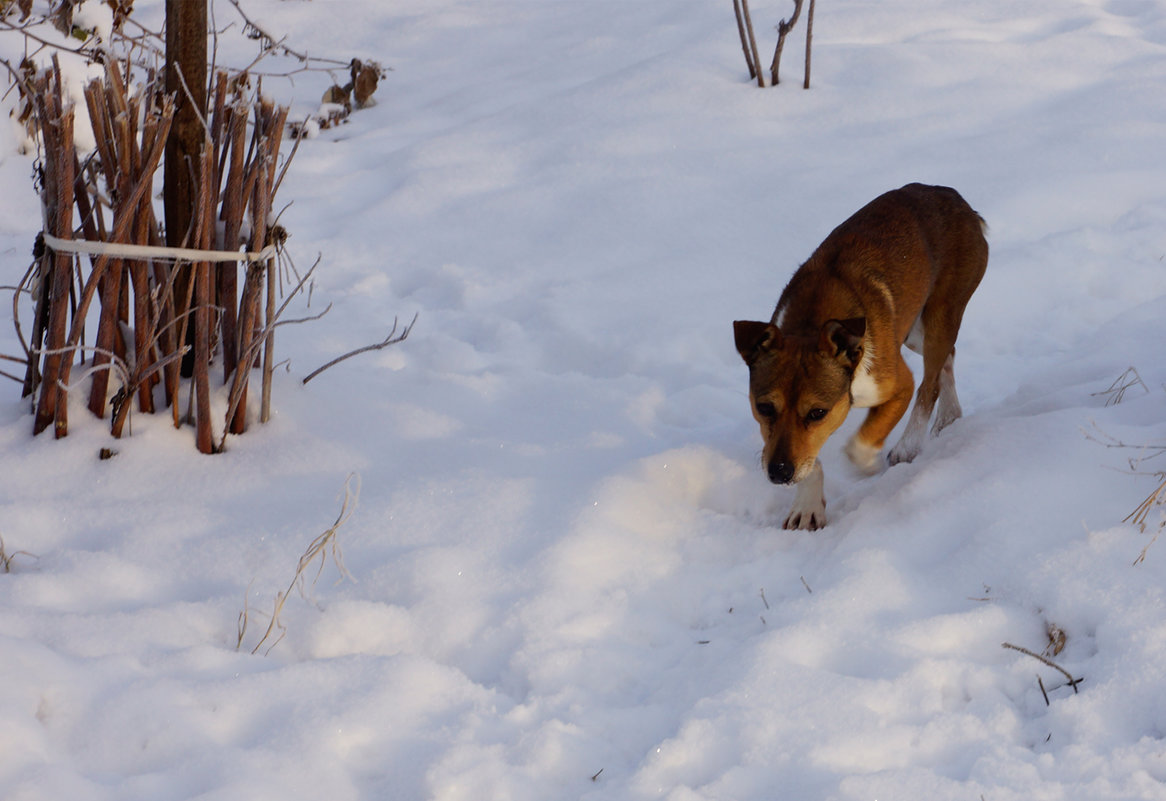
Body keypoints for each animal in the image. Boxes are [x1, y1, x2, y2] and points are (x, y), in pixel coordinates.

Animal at [732, 184, 988, 529]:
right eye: (764, 408)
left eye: (818, 412)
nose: (779, 472)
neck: (812, 321)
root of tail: (956, 198)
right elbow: (810, 461)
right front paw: (807, 507)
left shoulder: (897, 384)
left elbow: (861, 442)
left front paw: (868, 465)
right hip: (912, 332)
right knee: (948, 357)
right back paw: (950, 417)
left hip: (942, 313)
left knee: (931, 382)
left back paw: (908, 446)